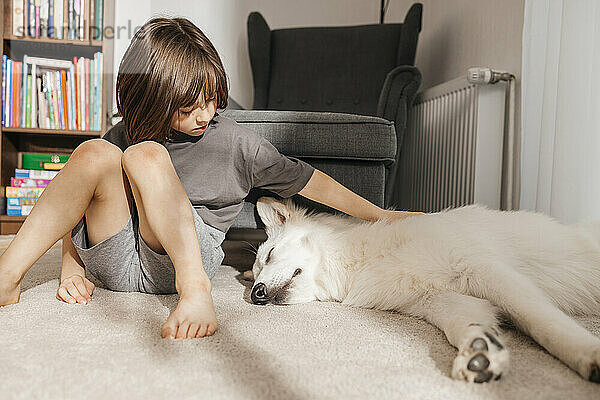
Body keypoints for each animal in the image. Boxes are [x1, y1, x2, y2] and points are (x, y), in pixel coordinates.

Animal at [247, 197, 600, 384]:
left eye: (269, 254)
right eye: (254, 277)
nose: (256, 294)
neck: (357, 261)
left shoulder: (487, 270)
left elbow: (543, 322)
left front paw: (586, 352)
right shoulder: (438, 300)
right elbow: (464, 325)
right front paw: (480, 351)